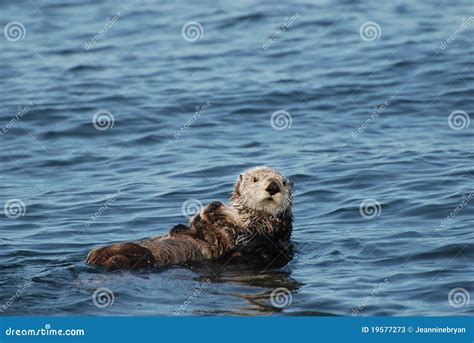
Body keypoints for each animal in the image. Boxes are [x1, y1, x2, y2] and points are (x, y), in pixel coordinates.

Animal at [85, 167, 292, 272]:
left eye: (282, 182)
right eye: (255, 179)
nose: (273, 187)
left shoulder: (262, 232)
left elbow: (233, 235)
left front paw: (213, 212)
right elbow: (196, 226)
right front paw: (208, 210)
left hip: (141, 258)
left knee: (128, 258)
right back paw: (95, 254)